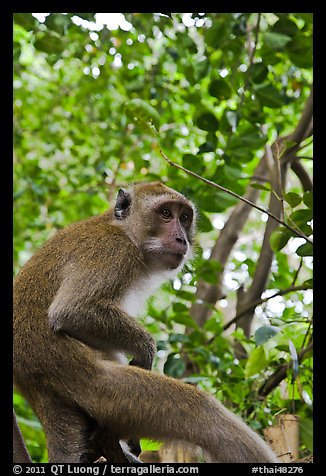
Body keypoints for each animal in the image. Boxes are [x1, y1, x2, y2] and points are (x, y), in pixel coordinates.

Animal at [13, 181, 278, 462]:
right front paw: (146, 350)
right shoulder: (114, 251)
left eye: (185, 218)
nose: (182, 238)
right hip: (99, 388)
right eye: (166, 214)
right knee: (203, 412)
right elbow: (71, 311)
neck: (124, 230)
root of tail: (37, 387)